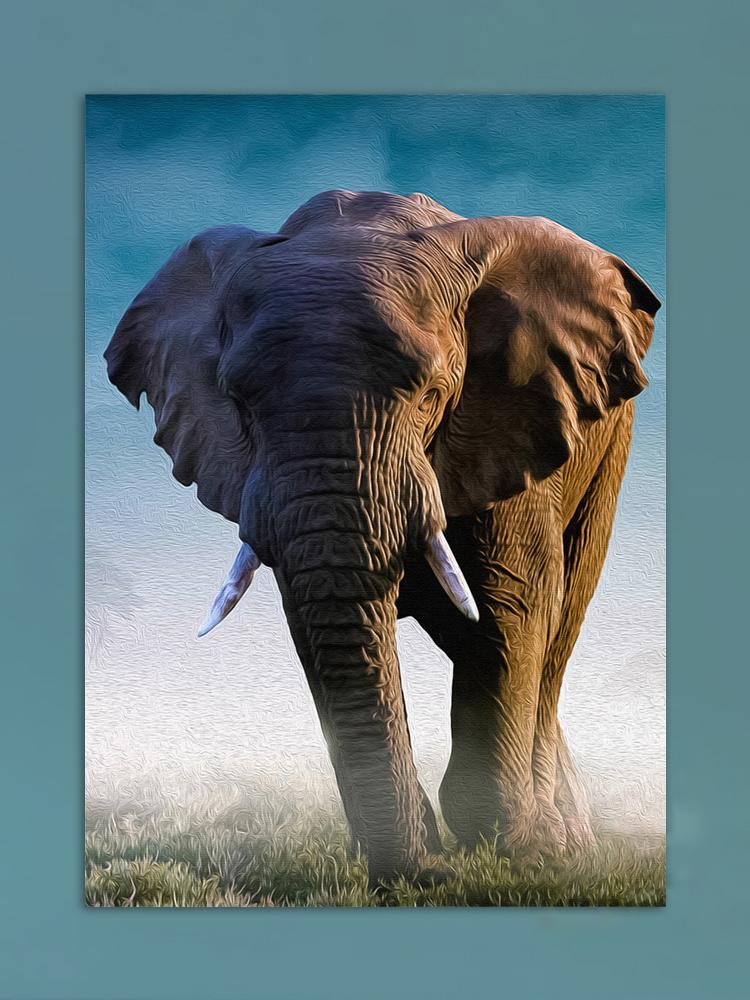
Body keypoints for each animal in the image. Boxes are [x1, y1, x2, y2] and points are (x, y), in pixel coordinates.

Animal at [105, 189, 660, 885]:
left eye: (431, 393)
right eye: (237, 400)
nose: (429, 873)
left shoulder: (510, 419)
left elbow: (509, 607)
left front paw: (520, 856)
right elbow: (315, 616)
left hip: (610, 447)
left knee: (556, 630)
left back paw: (567, 847)